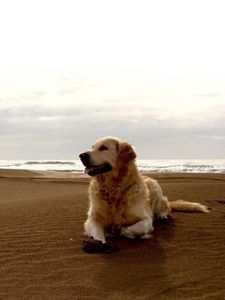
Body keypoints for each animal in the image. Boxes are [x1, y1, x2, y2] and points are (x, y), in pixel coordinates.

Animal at [79, 136, 209, 244]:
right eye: (92, 147)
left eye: (103, 148)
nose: (81, 155)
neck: (114, 189)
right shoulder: (92, 218)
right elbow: (96, 232)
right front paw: (99, 242)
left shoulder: (146, 219)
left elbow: (134, 228)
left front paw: (121, 230)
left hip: (155, 189)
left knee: (167, 206)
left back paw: (162, 215)